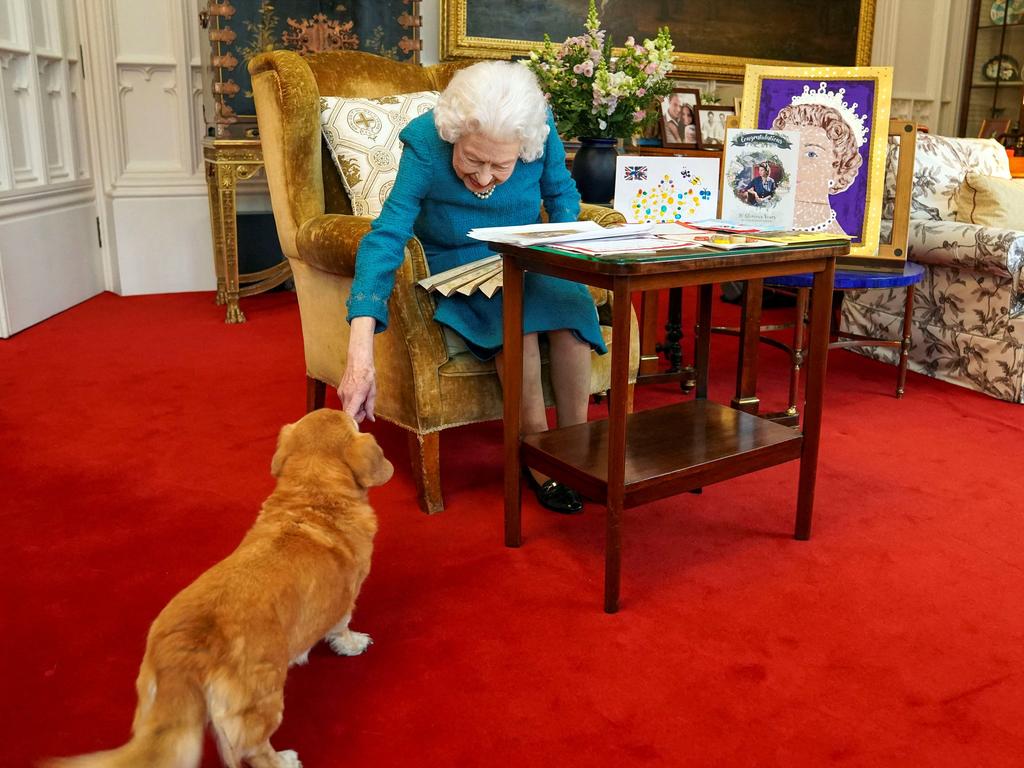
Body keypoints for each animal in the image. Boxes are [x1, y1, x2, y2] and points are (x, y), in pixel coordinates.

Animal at [46, 411, 393, 768]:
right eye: (351, 422)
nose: (353, 409)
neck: (312, 497)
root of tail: (187, 650)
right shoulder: (346, 599)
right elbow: (342, 627)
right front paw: (353, 644)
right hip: (263, 702)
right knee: (256, 751)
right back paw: (284, 760)